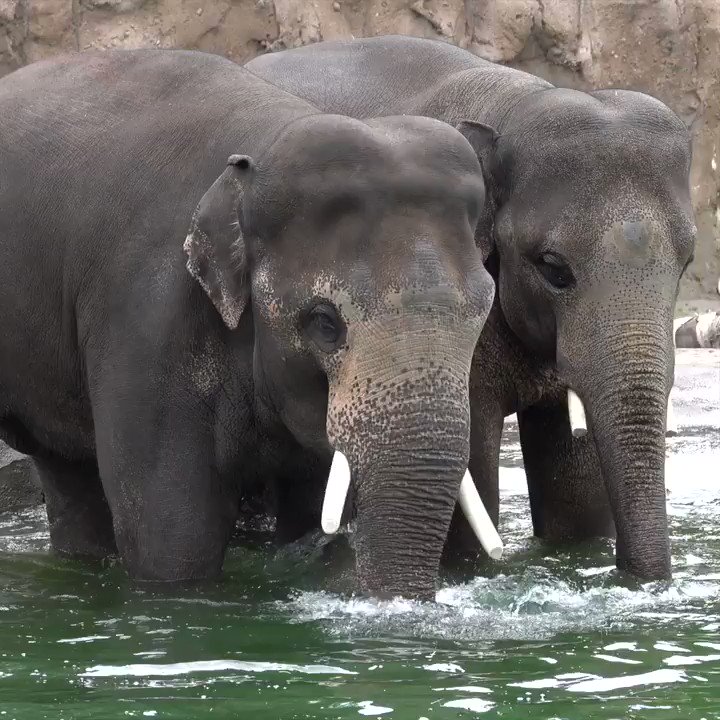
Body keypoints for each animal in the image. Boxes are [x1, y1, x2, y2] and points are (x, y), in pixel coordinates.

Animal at [0, 45, 500, 596]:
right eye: (325, 322)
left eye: (483, 312)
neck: (262, 145)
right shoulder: (143, 315)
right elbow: (171, 536)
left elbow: (308, 502)